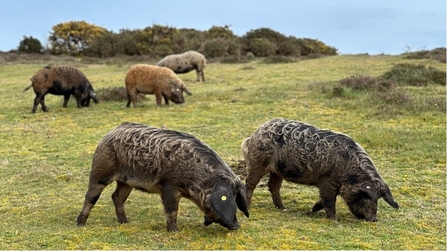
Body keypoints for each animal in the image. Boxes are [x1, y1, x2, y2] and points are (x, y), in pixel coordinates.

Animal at [78, 121, 250, 231]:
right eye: (227, 197)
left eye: (236, 198)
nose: (236, 226)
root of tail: (110, 133)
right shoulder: (169, 184)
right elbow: (172, 209)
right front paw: (174, 231)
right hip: (100, 170)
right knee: (91, 196)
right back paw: (80, 224)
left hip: (126, 182)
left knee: (116, 197)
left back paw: (126, 223)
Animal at [243, 118, 400, 222]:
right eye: (365, 196)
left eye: (378, 198)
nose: (374, 219)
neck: (347, 170)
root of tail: (257, 132)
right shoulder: (326, 180)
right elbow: (329, 201)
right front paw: (335, 220)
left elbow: (321, 201)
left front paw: (310, 211)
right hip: (258, 162)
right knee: (250, 183)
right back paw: (249, 207)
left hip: (278, 170)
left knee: (273, 186)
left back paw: (283, 208)